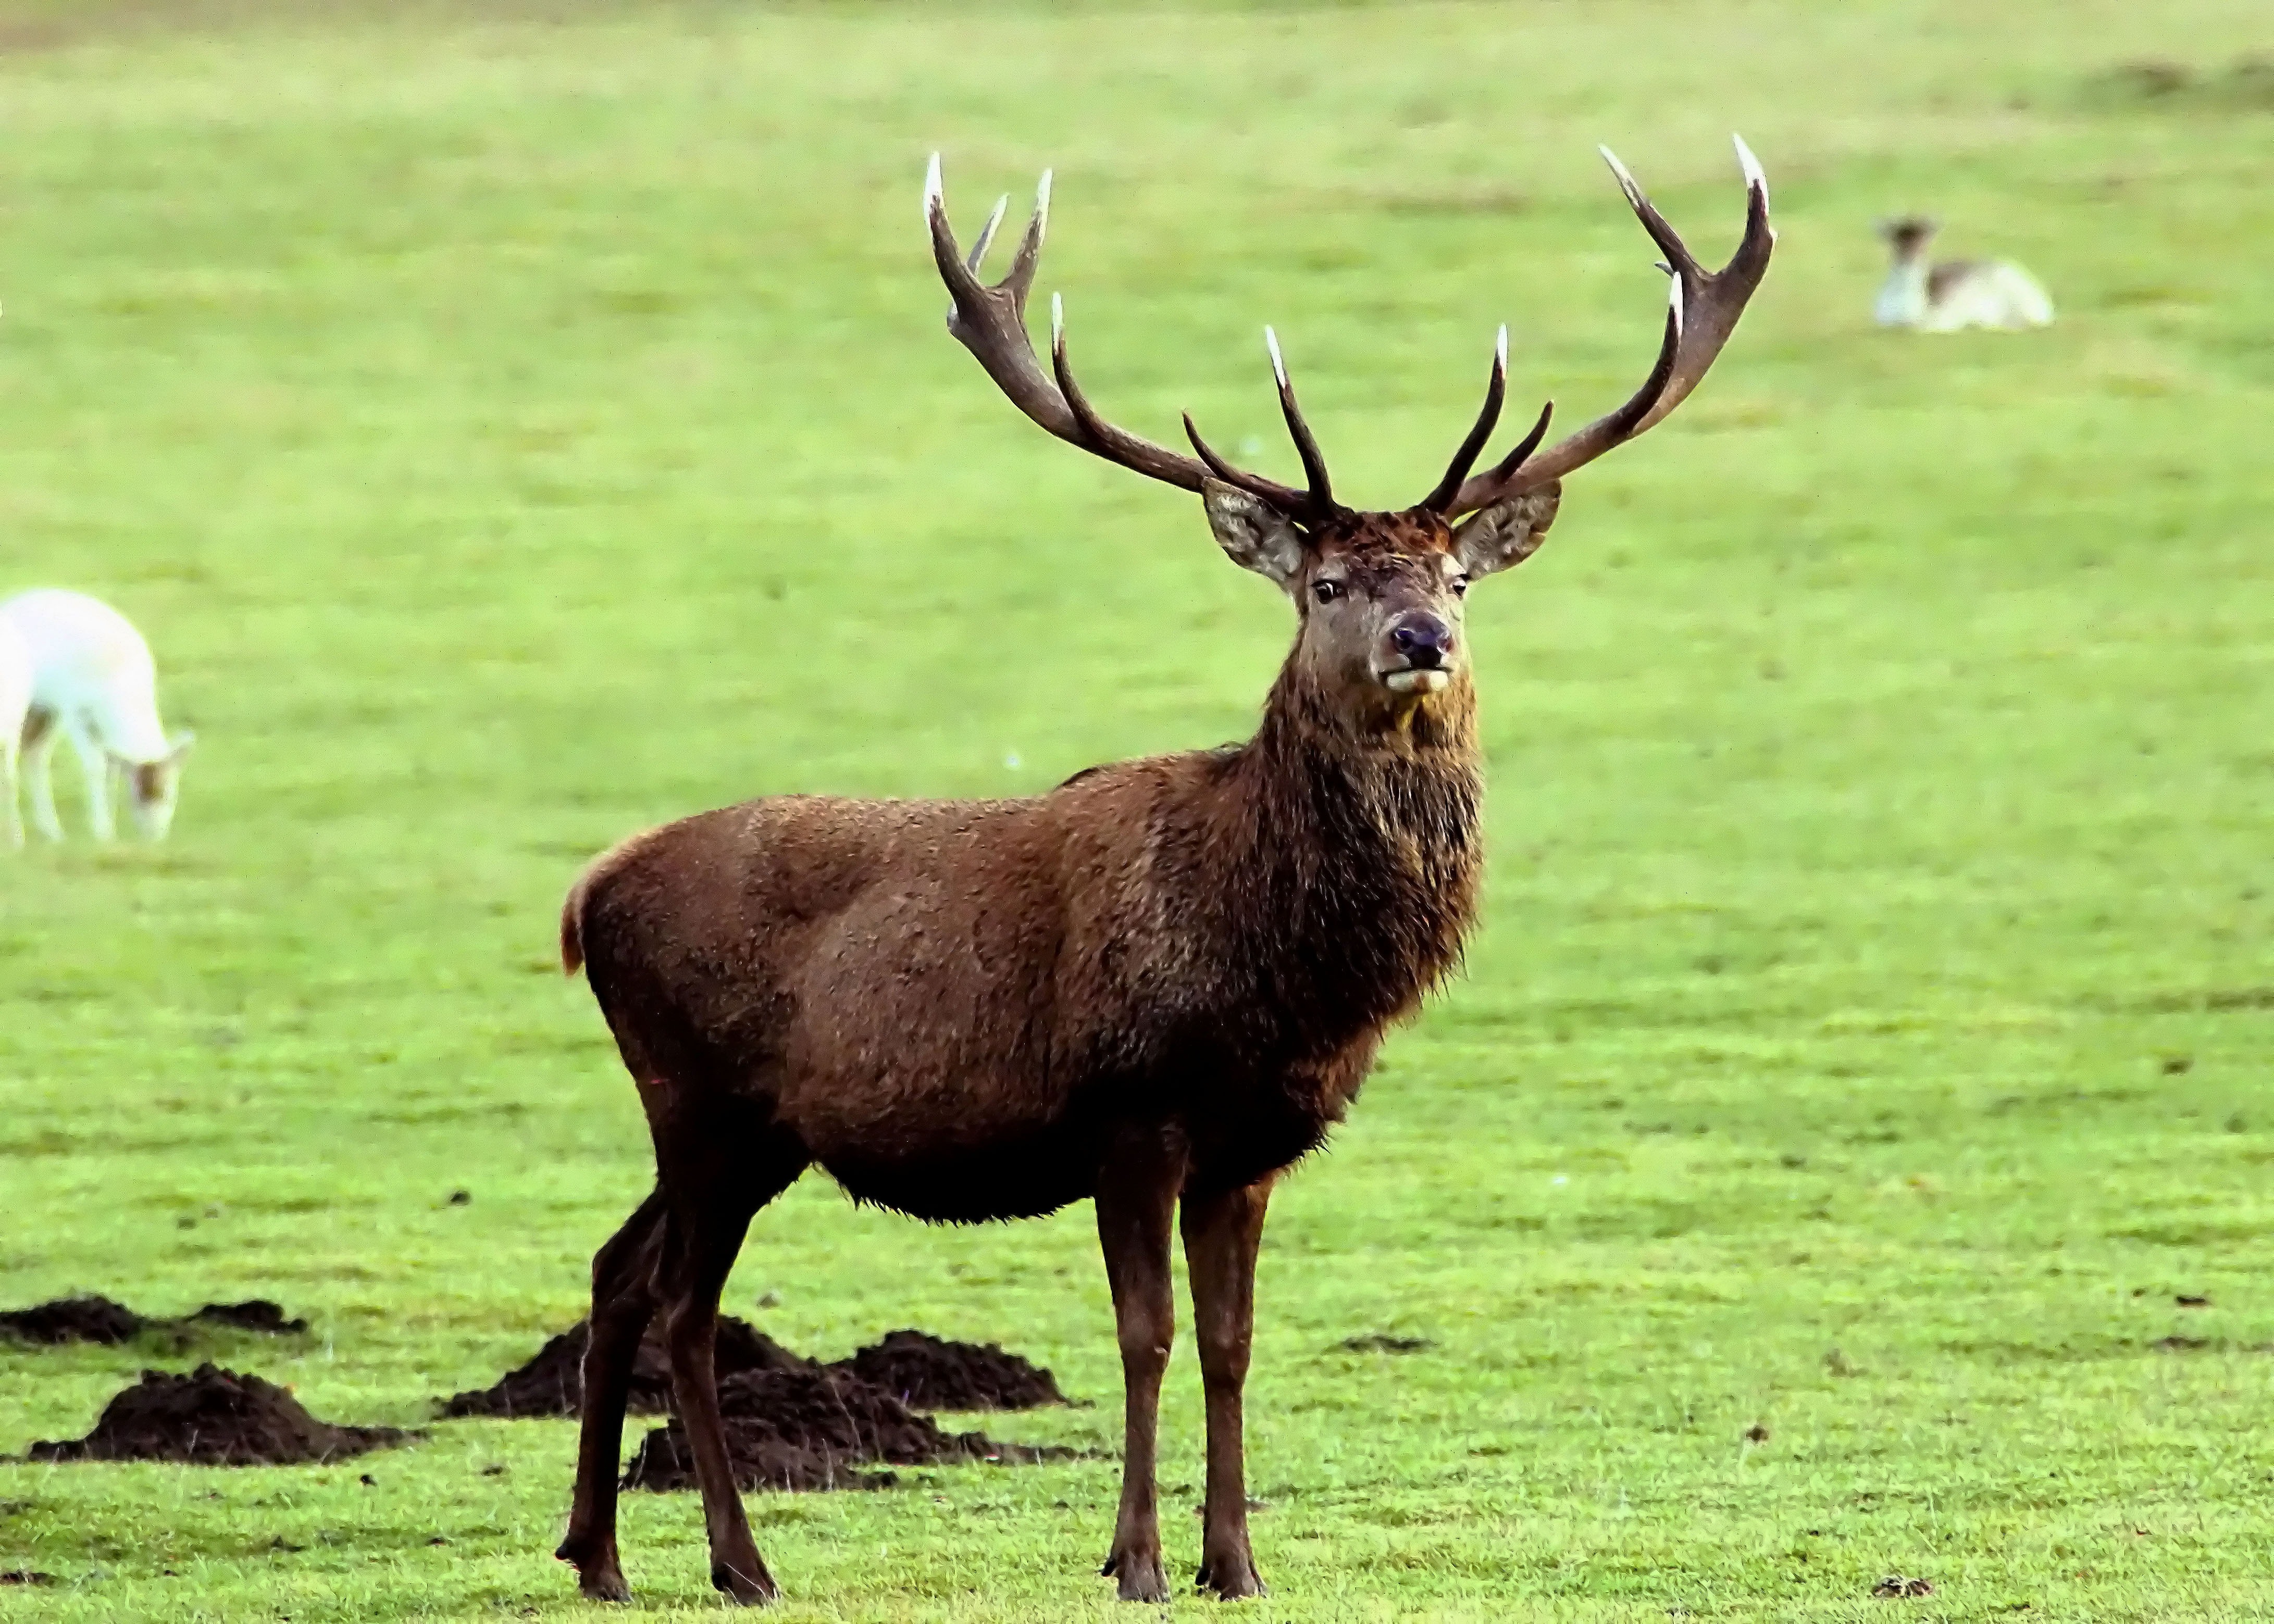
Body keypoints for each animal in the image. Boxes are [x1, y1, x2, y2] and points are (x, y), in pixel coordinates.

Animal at [1, 586, 193, 837]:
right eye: (136, 795)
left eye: (168, 793)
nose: (154, 836)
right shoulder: (74, 710)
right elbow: (96, 767)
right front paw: (102, 832)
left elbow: (111, 770)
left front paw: (110, 829)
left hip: (43, 710)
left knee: (35, 753)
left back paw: (53, 832)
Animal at [550, 142, 1773, 1610]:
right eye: (1325, 585)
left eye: (1455, 578)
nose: (1419, 639)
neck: (1279, 981)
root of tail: (586, 895)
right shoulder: (1130, 1111)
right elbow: (1144, 1335)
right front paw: (1133, 1558)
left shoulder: (1257, 1143)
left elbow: (1233, 1341)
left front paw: (1235, 1558)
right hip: (701, 1098)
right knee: (681, 1300)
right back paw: (738, 1562)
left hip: (737, 1124)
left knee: (618, 1269)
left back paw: (598, 1554)